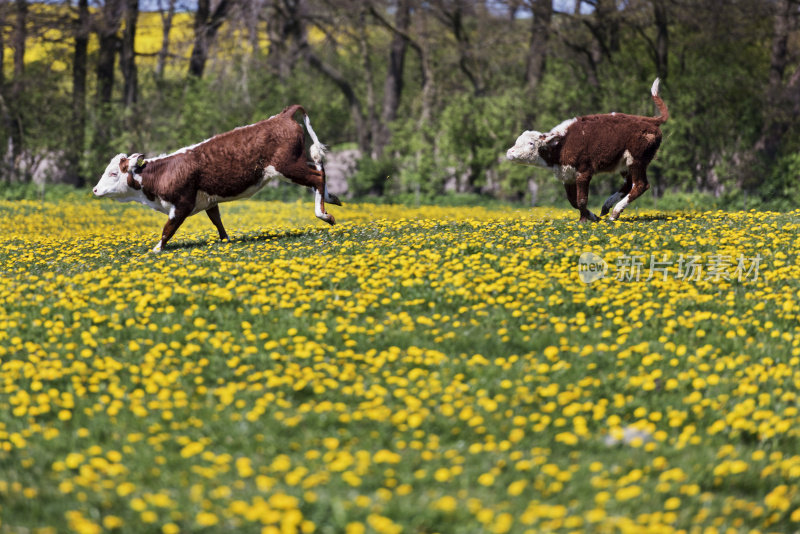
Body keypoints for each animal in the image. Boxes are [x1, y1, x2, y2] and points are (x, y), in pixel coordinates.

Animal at [91, 107, 340, 255]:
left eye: (113, 173)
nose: (94, 190)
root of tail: (282, 115)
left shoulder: (182, 204)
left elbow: (167, 229)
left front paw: (155, 250)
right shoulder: (209, 201)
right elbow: (217, 222)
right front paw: (225, 241)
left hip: (287, 167)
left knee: (317, 177)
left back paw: (324, 214)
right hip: (296, 162)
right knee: (319, 167)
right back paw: (332, 198)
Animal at [506, 79, 668, 222]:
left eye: (531, 143)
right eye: (516, 141)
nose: (509, 153)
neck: (562, 145)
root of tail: (649, 120)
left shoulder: (584, 171)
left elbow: (582, 199)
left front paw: (586, 220)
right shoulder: (567, 175)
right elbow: (573, 201)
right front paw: (591, 217)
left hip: (637, 159)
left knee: (641, 185)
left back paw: (615, 212)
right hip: (624, 163)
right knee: (629, 184)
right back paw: (606, 207)